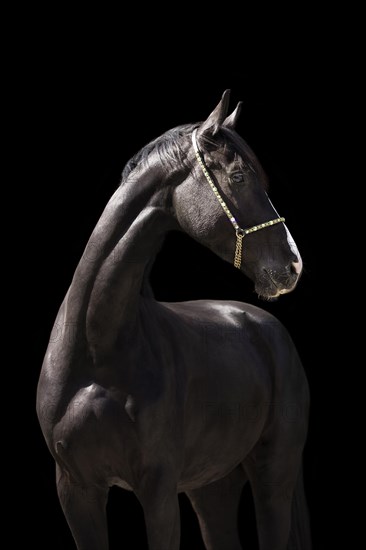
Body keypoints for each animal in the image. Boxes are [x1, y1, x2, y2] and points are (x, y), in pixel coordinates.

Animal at [37, 88, 312, 548]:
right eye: (239, 177)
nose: (292, 266)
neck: (96, 352)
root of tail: (269, 329)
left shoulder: (159, 491)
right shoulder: (76, 490)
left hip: (273, 476)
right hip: (212, 486)